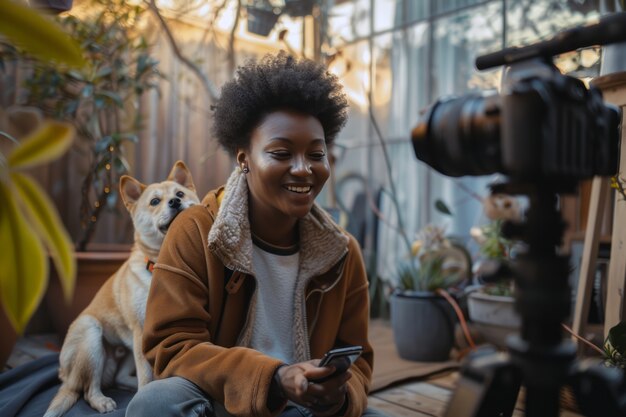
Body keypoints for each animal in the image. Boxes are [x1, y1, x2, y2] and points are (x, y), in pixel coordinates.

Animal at [43, 160, 199, 416]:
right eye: (155, 201)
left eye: (179, 194)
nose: (175, 202)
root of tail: (65, 376)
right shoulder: (142, 332)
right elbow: (147, 376)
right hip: (92, 336)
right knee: (88, 390)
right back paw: (102, 401)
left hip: (123, 353)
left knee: (118, 378)